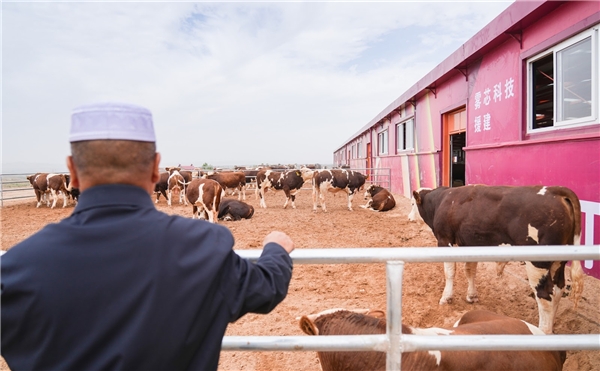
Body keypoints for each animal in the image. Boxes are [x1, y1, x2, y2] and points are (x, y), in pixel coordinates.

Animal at [410, 185, 584, 334]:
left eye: (412, 203)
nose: (409, 217)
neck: (443, 200)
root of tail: (555, 191)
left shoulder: (445, 240)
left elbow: (450, 272)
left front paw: (446, 297)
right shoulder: (470, 243)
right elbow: (470, 270)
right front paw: (471, 296)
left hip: (537, 264)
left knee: (545, 295)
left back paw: (543, 331)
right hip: (558, 263)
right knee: (558, 290)